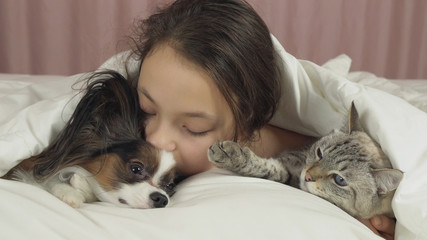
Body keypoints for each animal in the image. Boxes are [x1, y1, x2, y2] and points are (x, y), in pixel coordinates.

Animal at [209, 102, 402, 218]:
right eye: (319, 153)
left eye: (339, 180)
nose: (307, 176)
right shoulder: (287, 163)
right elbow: (269, 168)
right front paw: (230, 154)